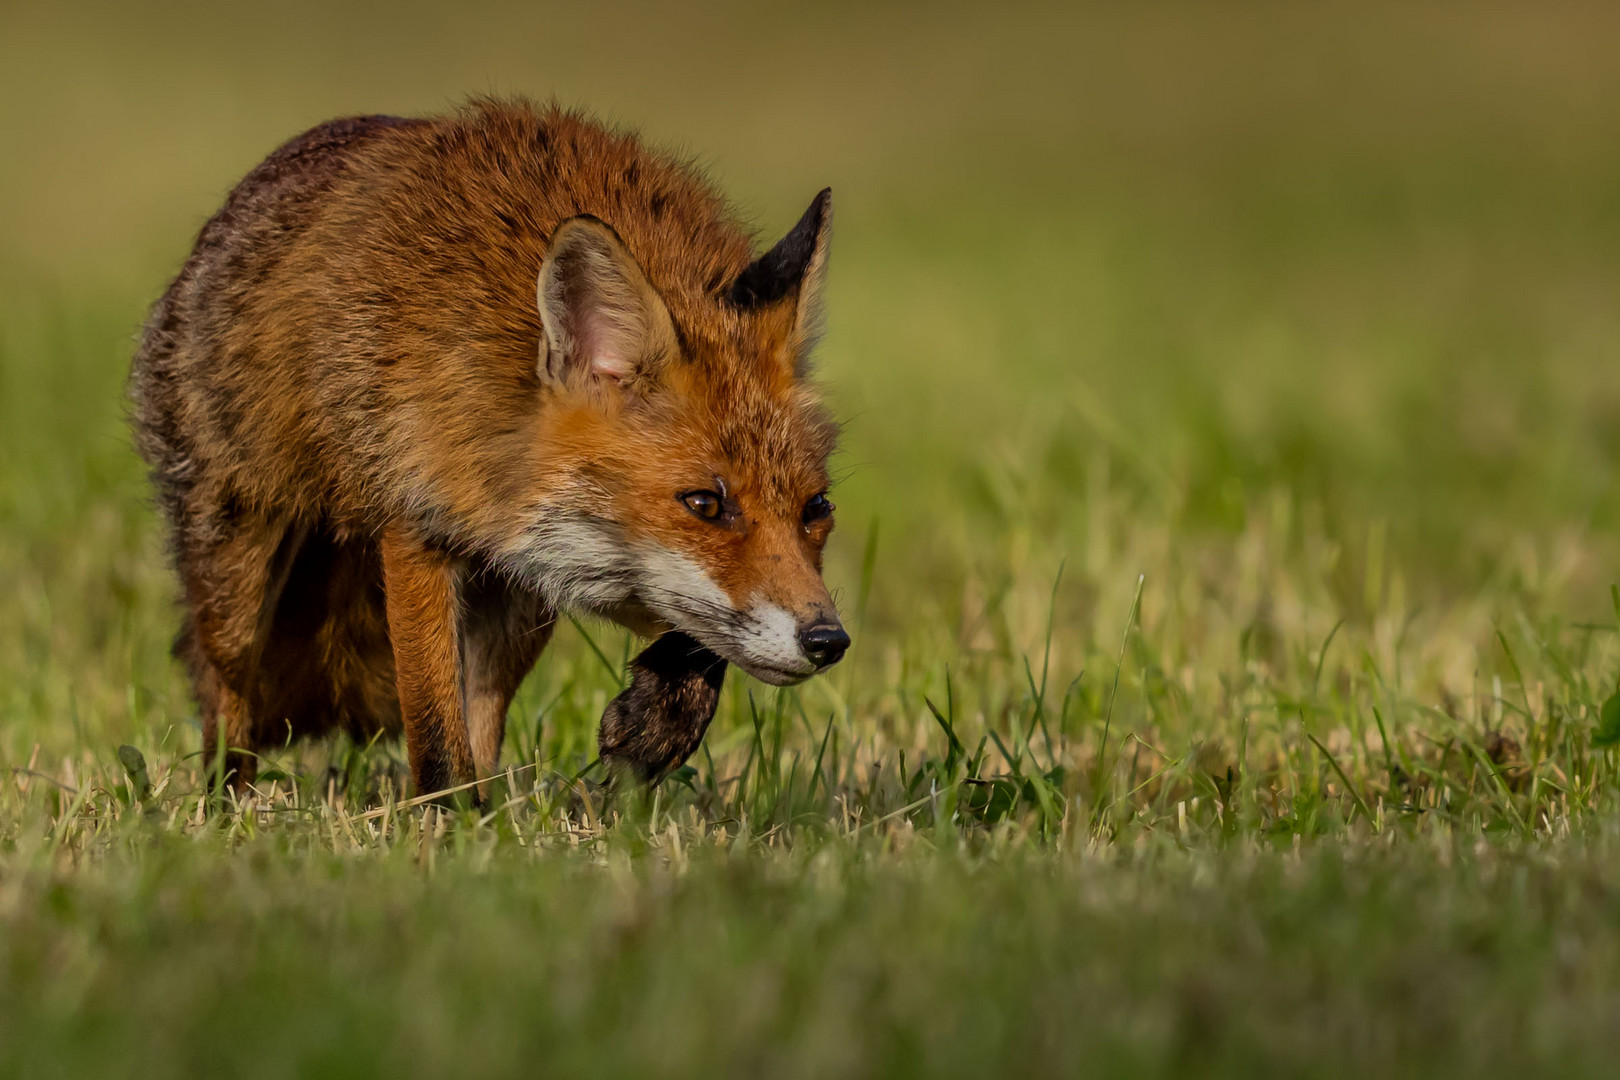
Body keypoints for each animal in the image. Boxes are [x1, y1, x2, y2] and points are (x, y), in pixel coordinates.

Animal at [129, 99, 848, 793]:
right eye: (704, 504)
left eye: (817, 509)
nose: (829, 641)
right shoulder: (414, 528)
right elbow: (434, 735)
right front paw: (444, 823)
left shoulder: (551, 561)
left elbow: (700, 633)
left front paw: (657, 724)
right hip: (238, 575)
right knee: (229, 697)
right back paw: (226, 803)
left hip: (516, 606)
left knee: (484, 720)